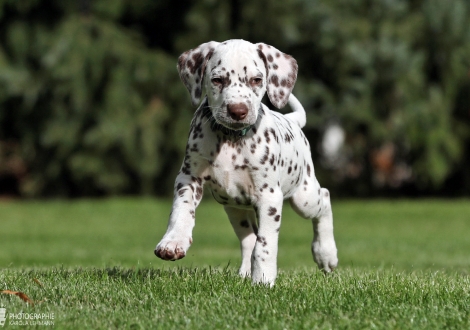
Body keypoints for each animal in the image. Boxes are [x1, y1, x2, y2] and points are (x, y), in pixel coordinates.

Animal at [155, 39, 338, 286]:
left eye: (256, 80)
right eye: (217, 80)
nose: (238, 111)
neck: (231, 140)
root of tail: (291, 120)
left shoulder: (269, 197)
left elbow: (265, 244)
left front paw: (263, 279)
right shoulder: (188, 177)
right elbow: (181, 210)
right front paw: (173, 241)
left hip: (304, 197)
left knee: (324, 200)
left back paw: (325, 253)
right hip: (234, 208)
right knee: (248, 238)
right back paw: (244, 272)